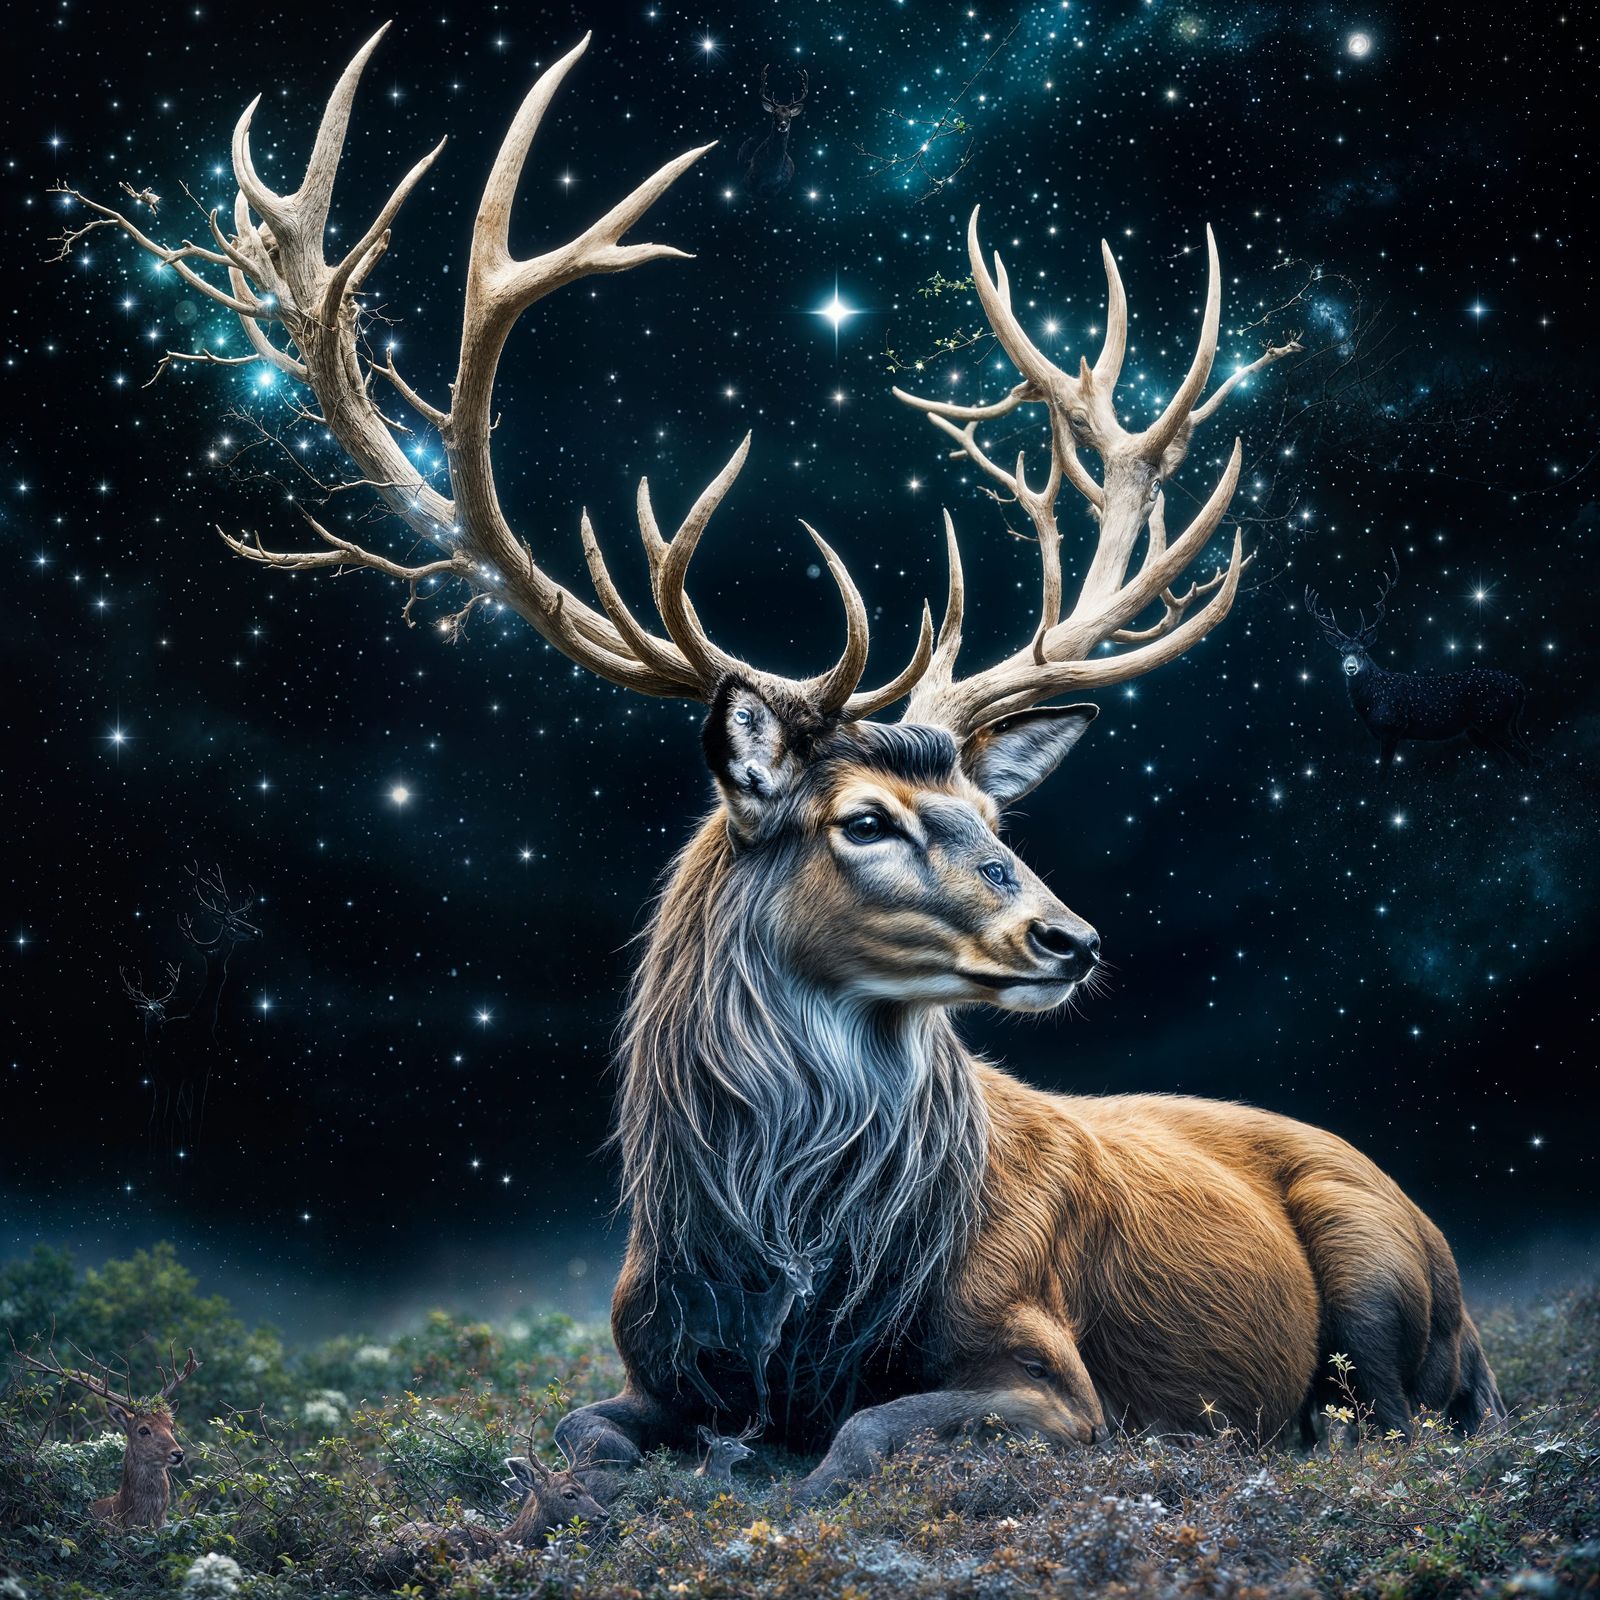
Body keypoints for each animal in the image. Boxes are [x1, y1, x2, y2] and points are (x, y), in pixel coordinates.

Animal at [662, 1251, 824, 1425]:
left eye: (812, 1271)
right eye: (791, 1271)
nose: (810, 1295)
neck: (769, 1322)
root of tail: (664, 1283)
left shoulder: (766, 1354)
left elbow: (768, 1390)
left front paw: (770, 1421)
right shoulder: (749, 1346)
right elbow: (761, 1390)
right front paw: (762, 1423)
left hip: (692, 1337)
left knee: (686, 1362)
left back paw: (719, 1404)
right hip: (674, 1325)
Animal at [1306, 556, 1531, 769]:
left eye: (1362, 652)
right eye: (1341, 653)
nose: (1350, 667)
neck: (1372, 702)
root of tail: (1517, 685)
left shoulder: (1392, 728)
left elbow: (1382, 772)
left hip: (1495, 721)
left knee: (1527, 757)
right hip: (1479, 730)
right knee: (1508, 761)